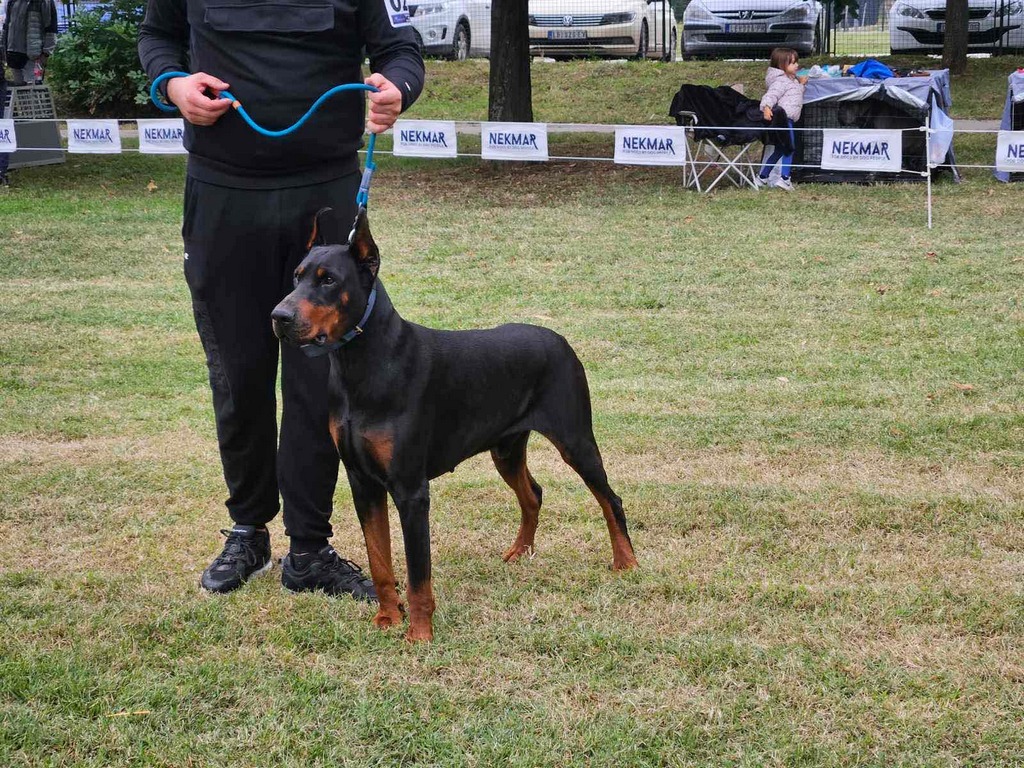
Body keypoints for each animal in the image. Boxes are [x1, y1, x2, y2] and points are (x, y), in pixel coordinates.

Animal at [276, 210, 634, 643]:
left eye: (328, 279)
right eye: (297, 277)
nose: (279, 317)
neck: (361, 364)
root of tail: (559, 339)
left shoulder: (411, 491)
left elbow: (419, 574)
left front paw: (419, 634)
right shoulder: (363, 482)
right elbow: (380, 560)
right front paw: (387, 618)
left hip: (575, 440)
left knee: (610, 499)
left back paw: (626, 562)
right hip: (506, 448)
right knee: (533, 494)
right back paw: (520, 551)